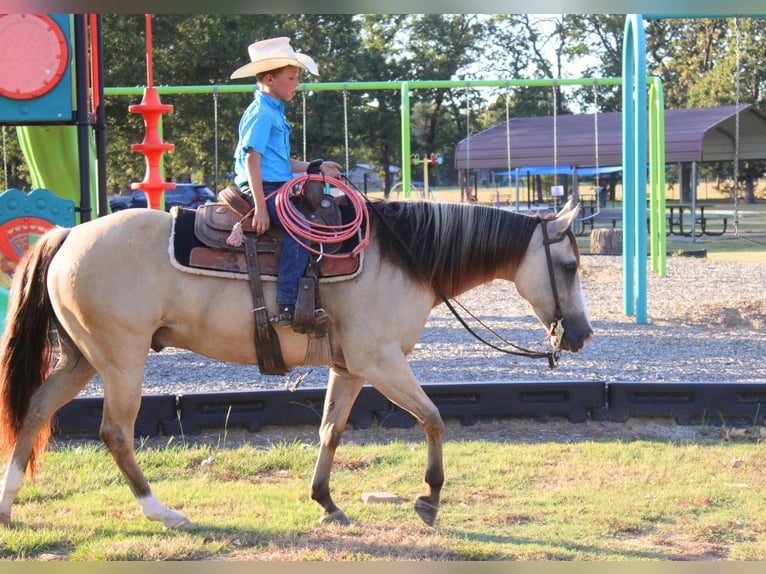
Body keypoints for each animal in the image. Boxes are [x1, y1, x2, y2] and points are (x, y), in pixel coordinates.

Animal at [0, 198, 592, 530]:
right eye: (567, 265)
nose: (582, 334)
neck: (403, 259)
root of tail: (68, 236)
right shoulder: (381, 361)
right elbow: (433, 419)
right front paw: (428, 499)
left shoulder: (351, 368)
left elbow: (330, 430)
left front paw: (326, 502)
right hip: (122, 358)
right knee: (116, 433)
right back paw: (161, 512)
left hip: (81, 357)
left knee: (36, 410)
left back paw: (7, 505)